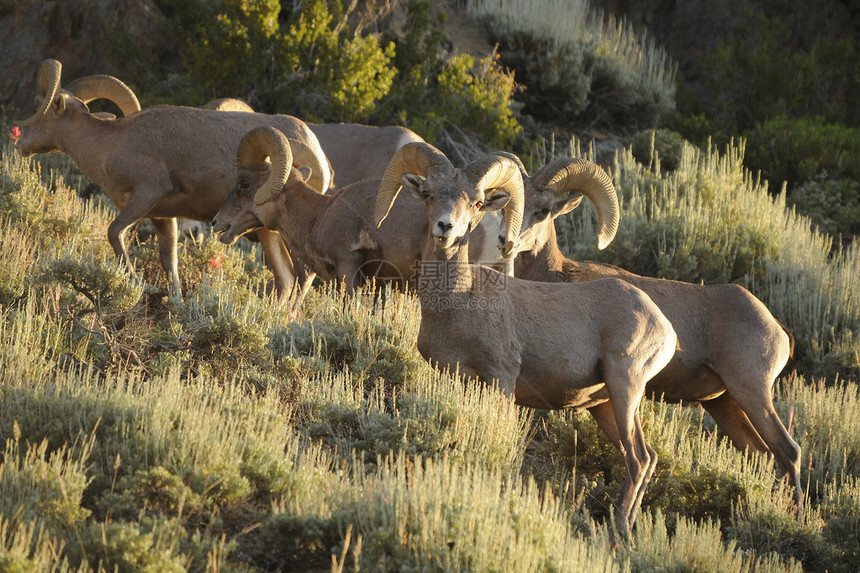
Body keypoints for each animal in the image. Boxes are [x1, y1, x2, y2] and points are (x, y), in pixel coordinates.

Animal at [17, 59, 332, 298]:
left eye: (35, 107)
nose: (21, 143)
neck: (111, 144)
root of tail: (317, 152)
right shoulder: (162, 217)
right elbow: (170, 261)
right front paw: (177, 303)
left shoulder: (145, 196)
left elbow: (114, 233)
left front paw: (136, 285)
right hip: (269, 232)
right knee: (287, 278)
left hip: (277, 231)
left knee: (299, 276)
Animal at [374, 142, 680, 536]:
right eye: (428, 195)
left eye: (476, 202)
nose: (446, 227)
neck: (458, 299)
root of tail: (664, 327)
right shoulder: (456, 377)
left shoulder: (501, 379)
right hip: (605, 406)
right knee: (643, 458)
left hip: (625, 386)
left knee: (639, 458)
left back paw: (619, 531)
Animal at [500, 155, 804, 504]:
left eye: (543, 210)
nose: (505, 242)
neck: (558, 278)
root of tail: (777, 328)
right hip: (723, 402)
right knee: (762, 455)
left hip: (752, 391)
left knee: (788, 451)